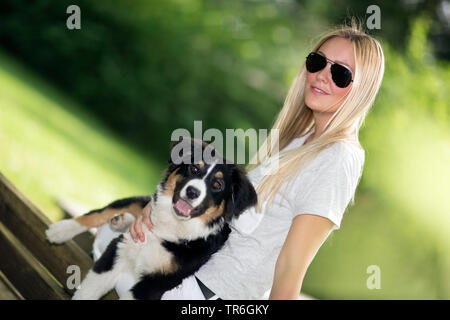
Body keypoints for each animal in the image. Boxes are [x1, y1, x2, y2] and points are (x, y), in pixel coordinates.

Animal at [46, 138, 256, 300]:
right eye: (194, 168)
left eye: (217, 184)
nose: (192, 191)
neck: (171, 227)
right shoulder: (117, 250)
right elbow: (88, 291)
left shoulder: (156, 283)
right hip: (142, 202)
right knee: (104, 211)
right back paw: (61, 230)